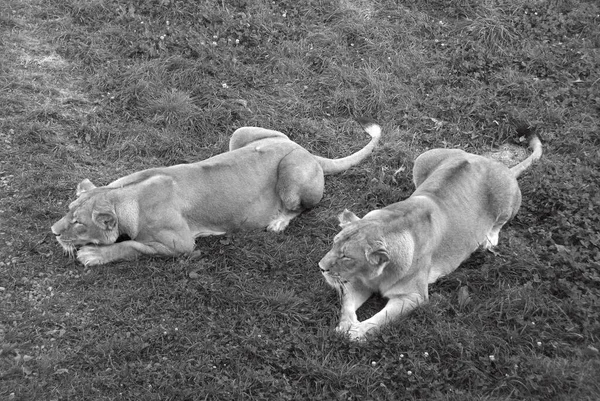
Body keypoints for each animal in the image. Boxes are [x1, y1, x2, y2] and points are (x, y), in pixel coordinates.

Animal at [51, 120, 380, 268]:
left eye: (79, 223)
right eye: (68, 209)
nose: (53, 231)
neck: (124, 195)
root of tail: (305, 150)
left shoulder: (181, 244)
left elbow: (132, 247)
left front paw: (94, 254)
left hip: (290, 174)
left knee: (299, 207)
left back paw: (277, 222)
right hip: (241, 133)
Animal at [318, 129, 544, 340]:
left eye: (346, 256)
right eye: (333, 244)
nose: (320, 267)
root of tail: (499, 164)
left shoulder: (413, 296)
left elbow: (382, 318)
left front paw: (357, 332)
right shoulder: (356, 281)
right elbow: (347, 305)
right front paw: (344, 326)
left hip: (506, 199)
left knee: (500, 222)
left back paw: (489, 239)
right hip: (423, 158)